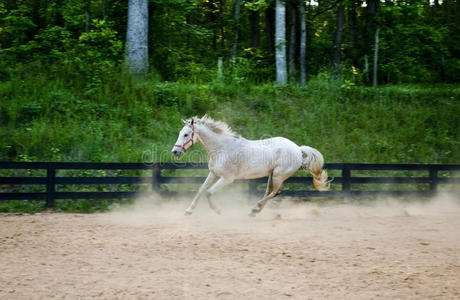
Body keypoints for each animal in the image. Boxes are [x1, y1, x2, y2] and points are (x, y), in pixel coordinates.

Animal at [171, 115, 328, 216]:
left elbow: (208, 193)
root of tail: (298, 149)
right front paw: (188, 211)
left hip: (279, 175)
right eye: (180, 133)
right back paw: (255, 210)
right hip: (272, 175)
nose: (175, 151)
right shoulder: (214, 174)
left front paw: (218, 210)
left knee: (276, 192)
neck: (222, 149)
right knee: (270, 192)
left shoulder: (227, 179)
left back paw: (255, 209)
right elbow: (201, 190)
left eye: (186, 134)